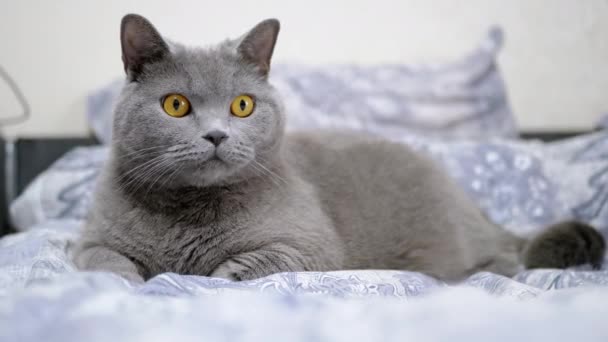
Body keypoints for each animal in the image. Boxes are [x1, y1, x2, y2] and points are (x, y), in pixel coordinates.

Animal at [72, 14, 604, 284]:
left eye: (242, 105)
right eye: (176, 105)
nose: (217, 135)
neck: (186, 214)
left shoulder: (309, 247)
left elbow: (234, 270)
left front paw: (197, 279)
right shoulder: (91, 242)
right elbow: (107, 266)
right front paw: (137, 283)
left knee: (506, 257)